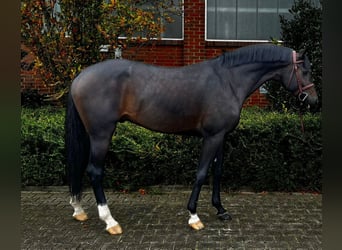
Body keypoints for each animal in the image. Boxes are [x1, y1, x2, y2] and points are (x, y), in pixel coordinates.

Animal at [66, 44, 318, 233]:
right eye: (305, 71)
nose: (313, 101)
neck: (228, 80)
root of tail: (80, 77)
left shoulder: (221, 137)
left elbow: (217, 172)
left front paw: (221, 209)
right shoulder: (212, 137)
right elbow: (201, 173)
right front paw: (194, 216)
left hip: (91, 135)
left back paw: (79, 210)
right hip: (102, 134)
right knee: (95, 171)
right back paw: (110, 221)